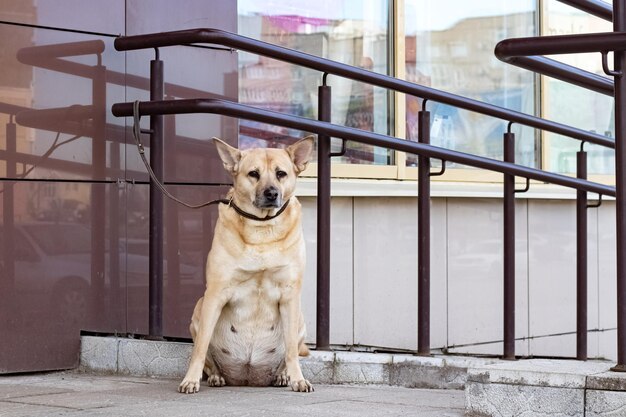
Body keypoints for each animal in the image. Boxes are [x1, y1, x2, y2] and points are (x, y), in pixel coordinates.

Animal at [178, 136, 314, 394]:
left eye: (281, 173)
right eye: (253, 174)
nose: (271, 193)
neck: (262, 227)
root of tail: (248, 376)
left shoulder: (290, 295)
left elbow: (291, 349)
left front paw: (298, 379)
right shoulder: (215, 293)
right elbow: (199, 348)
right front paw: (190, 379)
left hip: (300, 317)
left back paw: (282, 376)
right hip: (199, 308)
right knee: (209, 358)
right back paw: (216, 376)